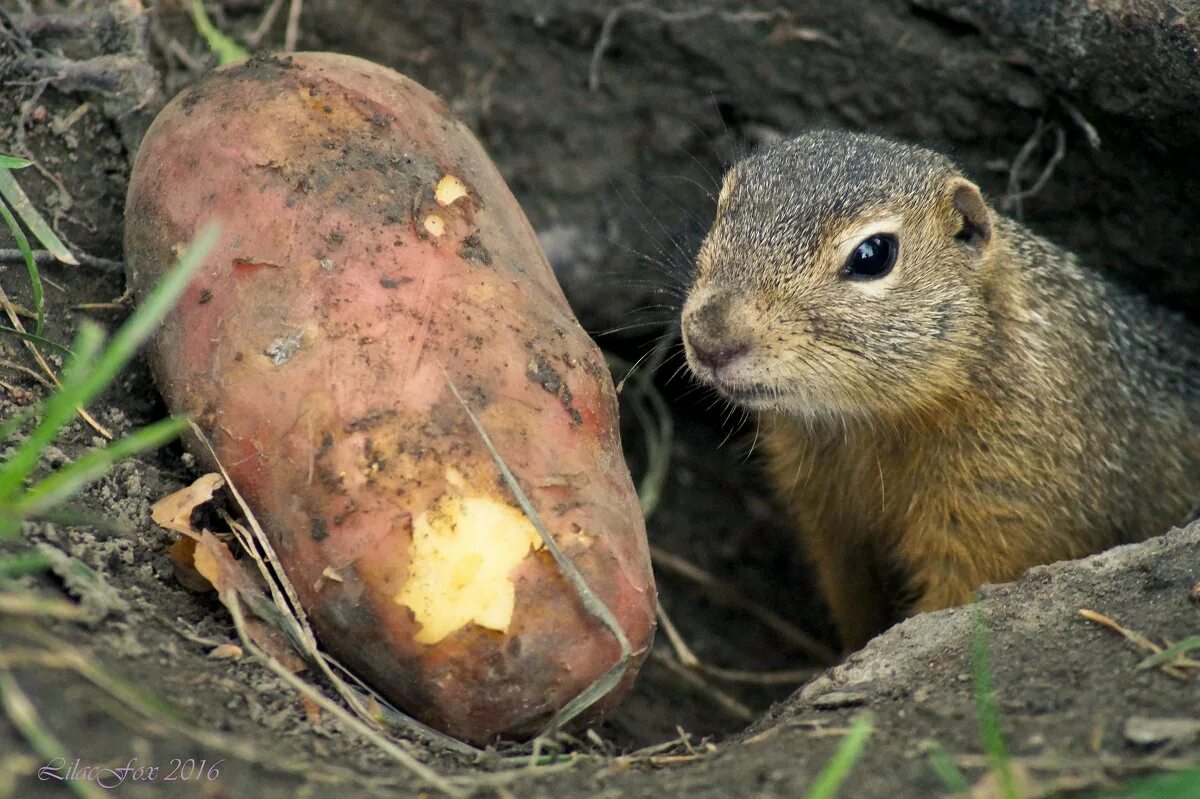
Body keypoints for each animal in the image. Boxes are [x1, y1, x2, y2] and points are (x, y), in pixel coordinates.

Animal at [681, 128, 1200, 647]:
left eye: (873, 255)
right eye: (722, 208)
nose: (710, 339)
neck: (864, 427)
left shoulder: (996, 511)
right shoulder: (831, 530)